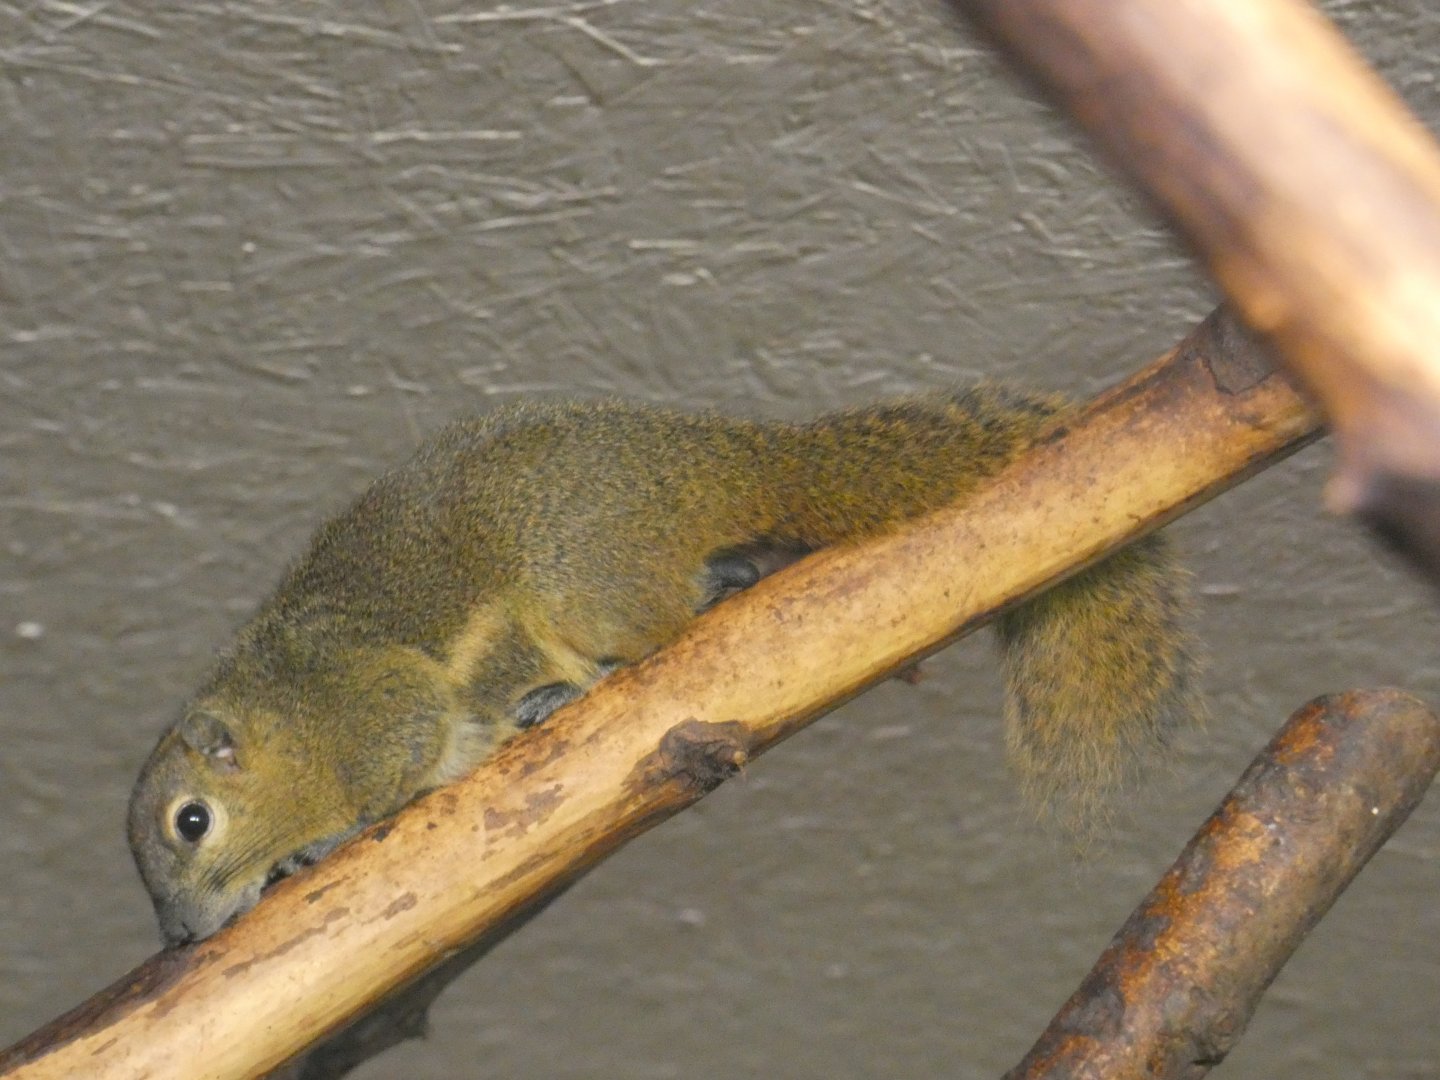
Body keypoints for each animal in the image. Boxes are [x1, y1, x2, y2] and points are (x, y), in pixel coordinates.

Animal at [127, 387, 1198, 946]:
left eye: (193, 823)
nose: (182, 938)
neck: (286, 709)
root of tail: (712, 464)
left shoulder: (378, 698)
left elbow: (403, 755)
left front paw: (322, 845)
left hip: (574, 575)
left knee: (654, 627)